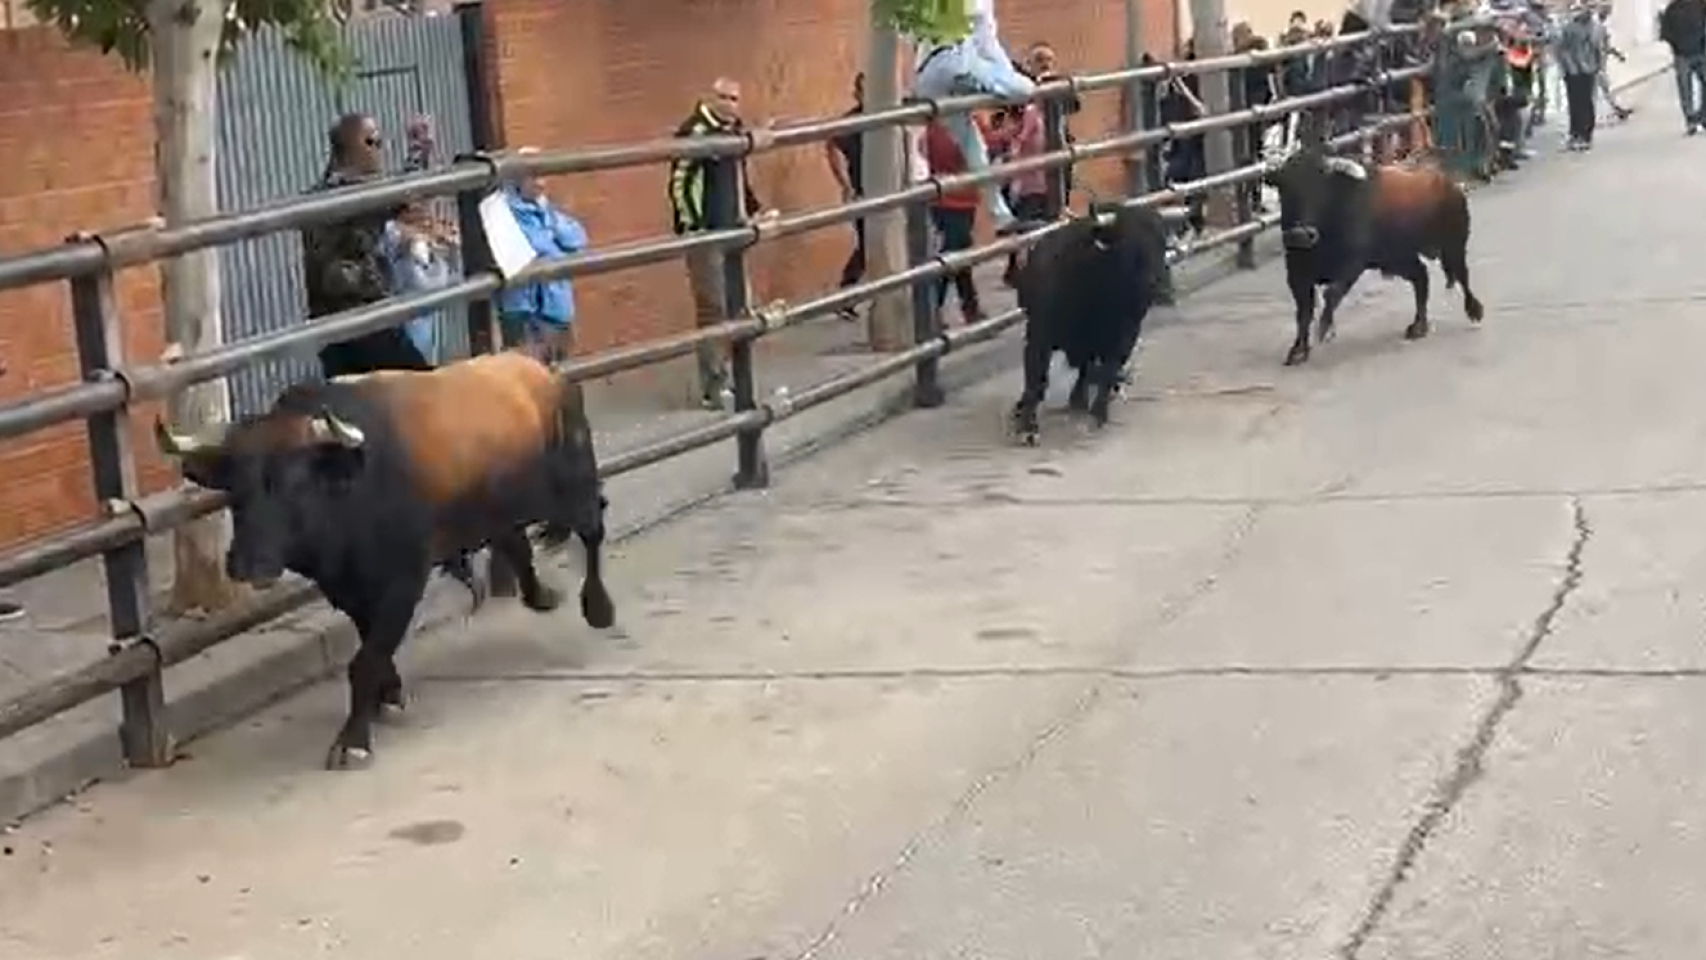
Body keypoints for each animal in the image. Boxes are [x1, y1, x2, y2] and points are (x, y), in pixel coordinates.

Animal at [156, 352, 617, 774]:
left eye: (296, 482)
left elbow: (366, 659)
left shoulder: (403, 581)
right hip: (496, 510)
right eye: (234, 487)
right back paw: (541, 595)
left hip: (575, 486)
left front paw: (353, 740)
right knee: (517, 545)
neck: (351, 487)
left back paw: (598, 608)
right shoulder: (349, 589)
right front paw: (389, 693)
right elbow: (371, 646)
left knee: (593, 531)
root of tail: (541, 370)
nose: (247, 563)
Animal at [1009, 204, 1173, 446]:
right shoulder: (1039, 335)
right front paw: (1027, 427)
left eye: (1162, 245)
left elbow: (1107, 370)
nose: (1158, 282)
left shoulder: (1125, 335)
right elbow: (1035, 377)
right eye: (1131, 246)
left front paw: (1098, 413)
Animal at [1262, 142, 1487, 368]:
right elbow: (1304, 312)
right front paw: (1299, 349)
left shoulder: (1352, 264)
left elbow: (1331, 294)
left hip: (1453, 245)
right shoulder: (1296, 274)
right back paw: (1418, 326)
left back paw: (1474, 310)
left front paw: (1324, 329)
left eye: (1321, 188)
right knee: (1421, 277)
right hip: (1399, 257)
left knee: (1462, 275)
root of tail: (1449, 183)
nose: (1301, 234)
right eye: (1285, 188)